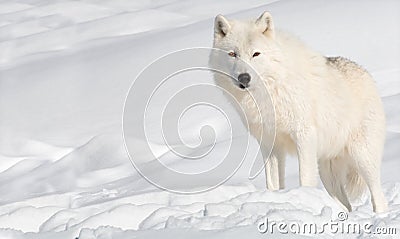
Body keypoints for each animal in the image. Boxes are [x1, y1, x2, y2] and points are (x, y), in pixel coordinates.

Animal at [211, 11, 390, 213]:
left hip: (362, 158)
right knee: (346, 205)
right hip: (328, 171)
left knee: (379, 197)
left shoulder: (304, 136)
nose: (244, 78)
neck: (269, 92)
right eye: (232, 54)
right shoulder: (270, 144)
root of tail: (366, 73)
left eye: (256, 54)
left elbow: (304, 178)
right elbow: (273, 183)